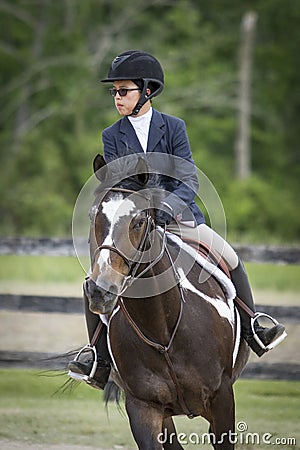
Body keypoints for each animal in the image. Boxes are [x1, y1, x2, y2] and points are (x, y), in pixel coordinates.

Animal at [84, 154, 248, 446]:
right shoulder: (143, 407)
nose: (100, 291)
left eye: (138, 221)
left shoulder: (222, 400)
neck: (162, 329)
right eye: (95, 217)